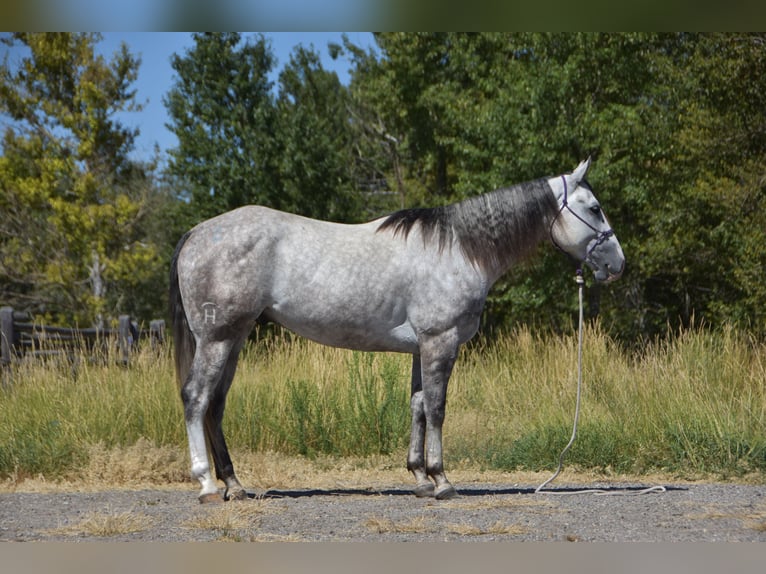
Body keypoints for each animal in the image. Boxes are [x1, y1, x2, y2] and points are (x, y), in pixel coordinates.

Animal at [169, 158, 624, 503]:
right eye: (594, 207)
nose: (617, 264)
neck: (458, 249)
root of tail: (196, 233)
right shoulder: (441, 341)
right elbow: (438, 408)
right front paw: (442, 480)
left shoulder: (422, 348)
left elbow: (418, 406)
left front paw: (420, 478)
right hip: (217, 339)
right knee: (195, 398)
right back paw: (207, 485)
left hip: (234, 339)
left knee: (216, 406)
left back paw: (234, 484)